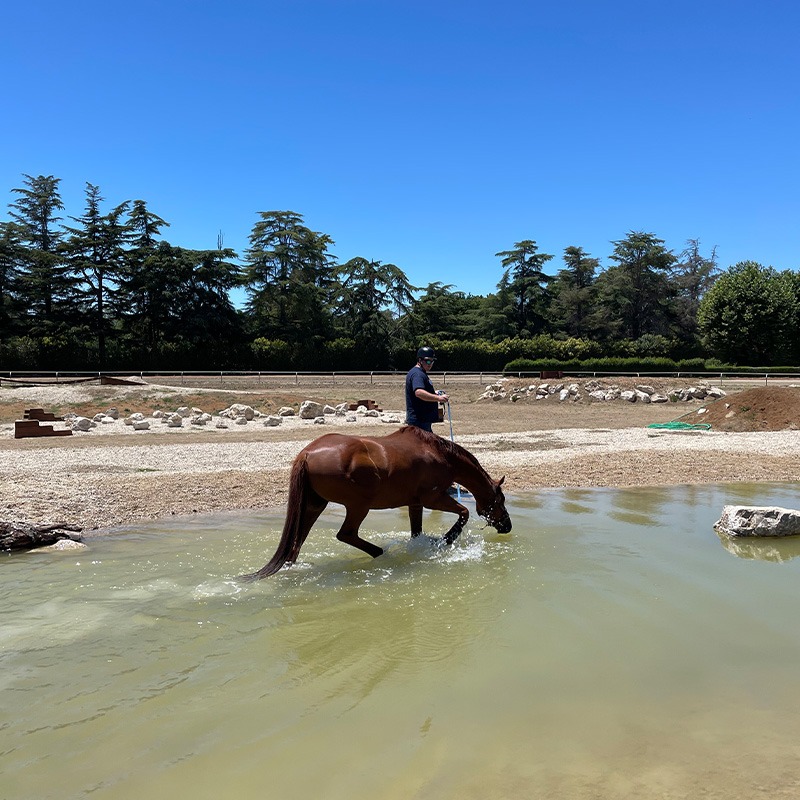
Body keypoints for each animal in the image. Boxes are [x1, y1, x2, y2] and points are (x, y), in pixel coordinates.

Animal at [239, 424, 512, 580]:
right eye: (500, 500)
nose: (507, 525)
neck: (439, 454)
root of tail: (307, 453)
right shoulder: (433, 498)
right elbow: (464, 513)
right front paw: (446, 540)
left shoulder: (415, 503)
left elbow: (416, 531)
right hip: (359, 506)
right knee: (346, 534)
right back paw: (380, 553)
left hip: (314, 506)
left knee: (296, 543)